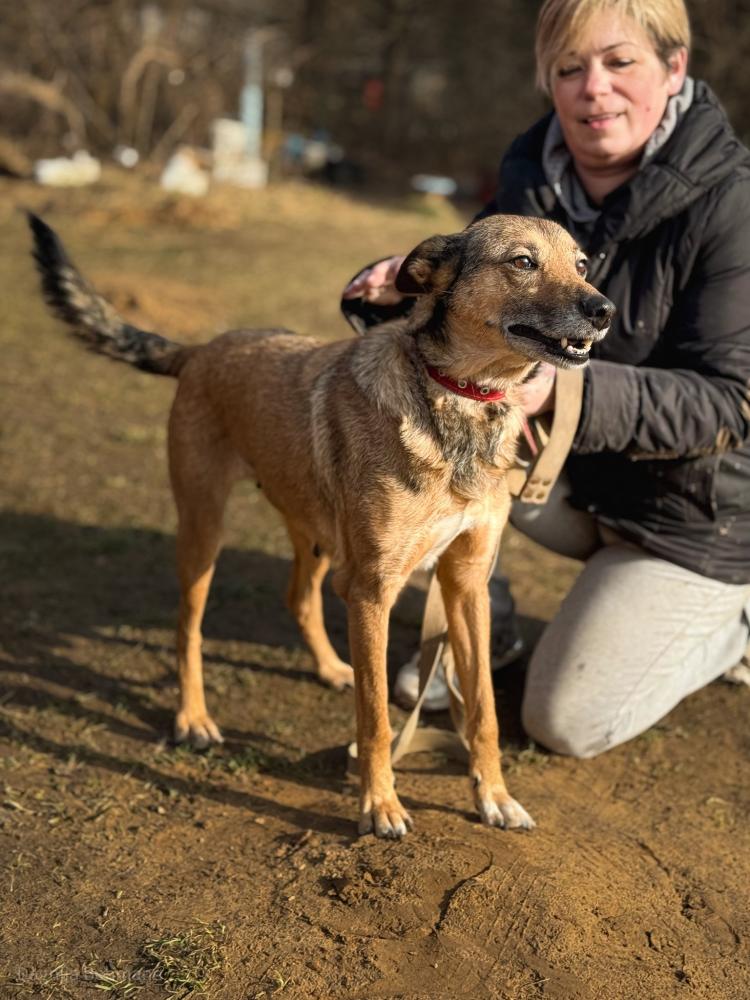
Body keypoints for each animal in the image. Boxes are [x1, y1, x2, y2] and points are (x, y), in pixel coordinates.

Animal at [29, 212, 613, 838]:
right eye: (523, 262)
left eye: (582, 264)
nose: (604, 310)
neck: (457, 398)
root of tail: (204, 348)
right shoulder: (374, 590)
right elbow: (377, 718)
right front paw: (380, 805)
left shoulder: (466, 582)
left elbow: (482, 712)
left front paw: (495, 797)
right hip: (205, 528)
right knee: (189, 627)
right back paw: (193, 717)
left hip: (316, 536)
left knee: (300, 597)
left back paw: (332, 667)